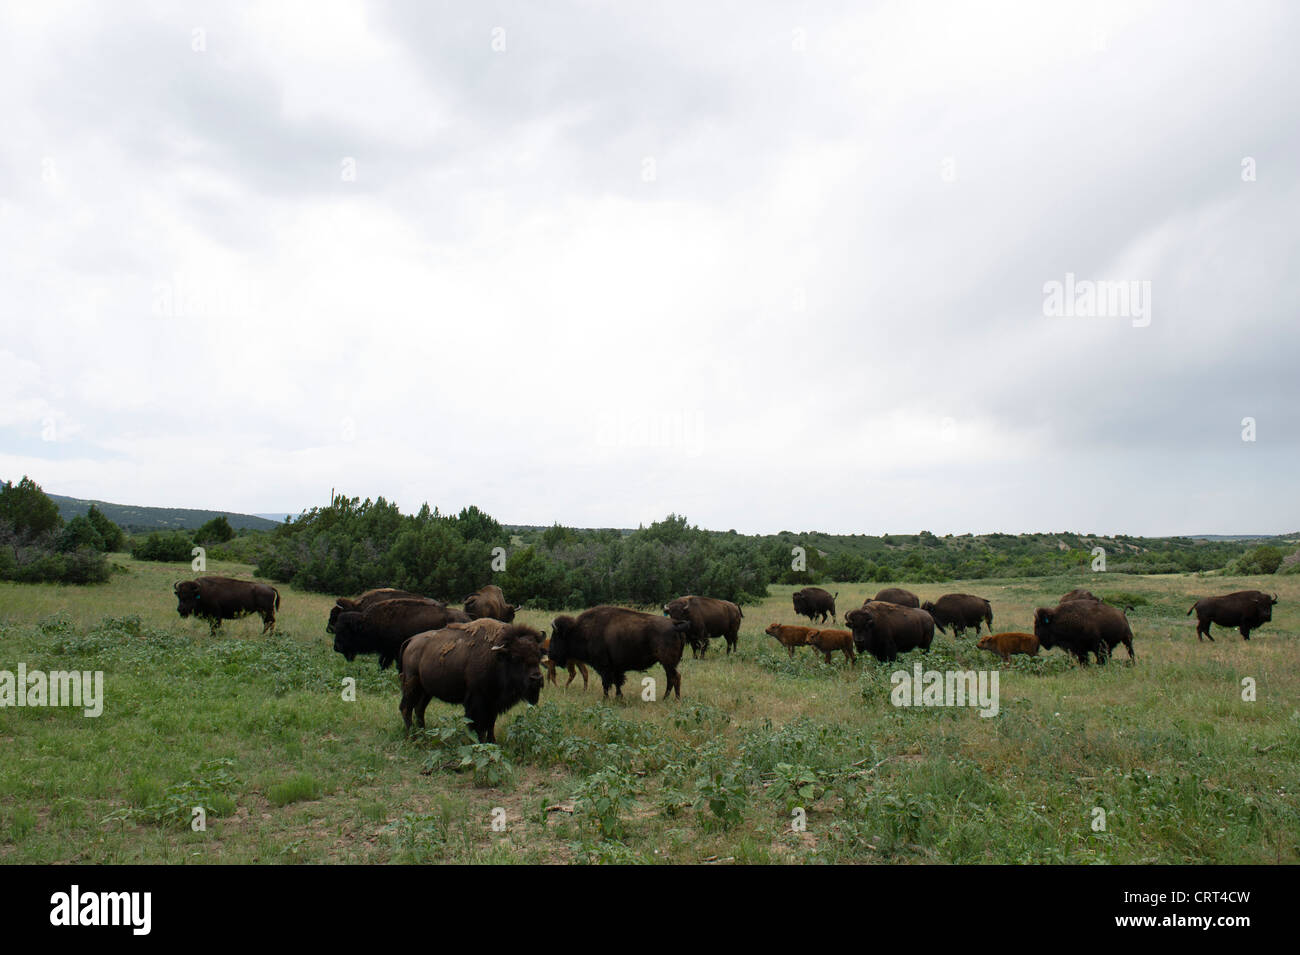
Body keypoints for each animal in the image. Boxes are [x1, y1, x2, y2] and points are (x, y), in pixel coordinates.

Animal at [335, 597, 473, 670]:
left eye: (345, 631)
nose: (336, 647)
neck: (368, 623)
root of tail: (467, 619)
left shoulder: (394, 650)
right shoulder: (388, 651)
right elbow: (383, 663)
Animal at [392, 623, 540, 743]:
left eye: (539, 656)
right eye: (516, 657)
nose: (536, 678)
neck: (498, 658)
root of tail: (411, 640)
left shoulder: (493, 702)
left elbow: (491, 723)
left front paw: (492, 741)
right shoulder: (478, 701)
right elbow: (477, 724)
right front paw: (479, 742)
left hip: (426, 691)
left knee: (419, 709)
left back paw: (424, 735)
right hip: (412, 686)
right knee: (406, 708)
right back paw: (413, 737)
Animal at [546, 613, 691, 701]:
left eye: (555, 637)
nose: (550, 653)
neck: (580, 631)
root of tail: (674, 624)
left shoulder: (604, 667)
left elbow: (606, 683)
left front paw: (606, 699)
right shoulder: (615, 668)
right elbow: (617, 682)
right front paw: (618, 697)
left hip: (667, 662)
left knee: (675, 677)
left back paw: (674, 699)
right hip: (667, 664)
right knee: (671, 678)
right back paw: (666, 698)